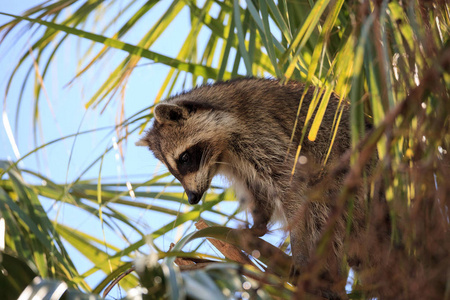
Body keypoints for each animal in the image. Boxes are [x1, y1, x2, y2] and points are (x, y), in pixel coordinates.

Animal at [139, 78, 370, 298]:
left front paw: (299, 247)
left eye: (184, 159)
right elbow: (256, 189)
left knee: (323, 205)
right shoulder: (237, 161)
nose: (192, 198)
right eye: (173, 171)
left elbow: (292, 185)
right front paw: (258, 224)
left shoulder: (262, 129)